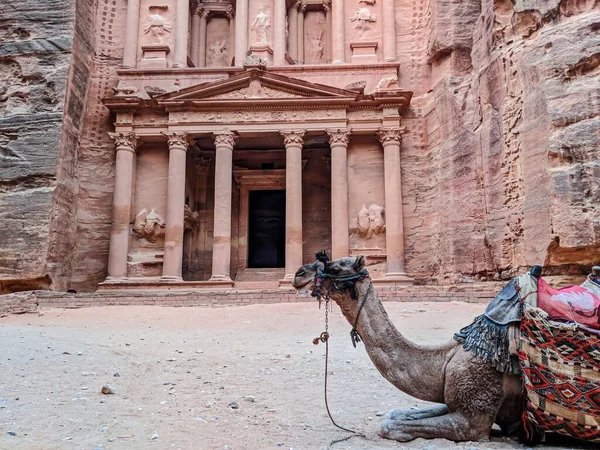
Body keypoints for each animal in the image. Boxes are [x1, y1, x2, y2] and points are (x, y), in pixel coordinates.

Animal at [290, 256, 520, 442]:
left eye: (336, 268)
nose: (299, 273)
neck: (445, 359)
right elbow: (397, 413)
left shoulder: (473, 420)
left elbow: (387, 425)